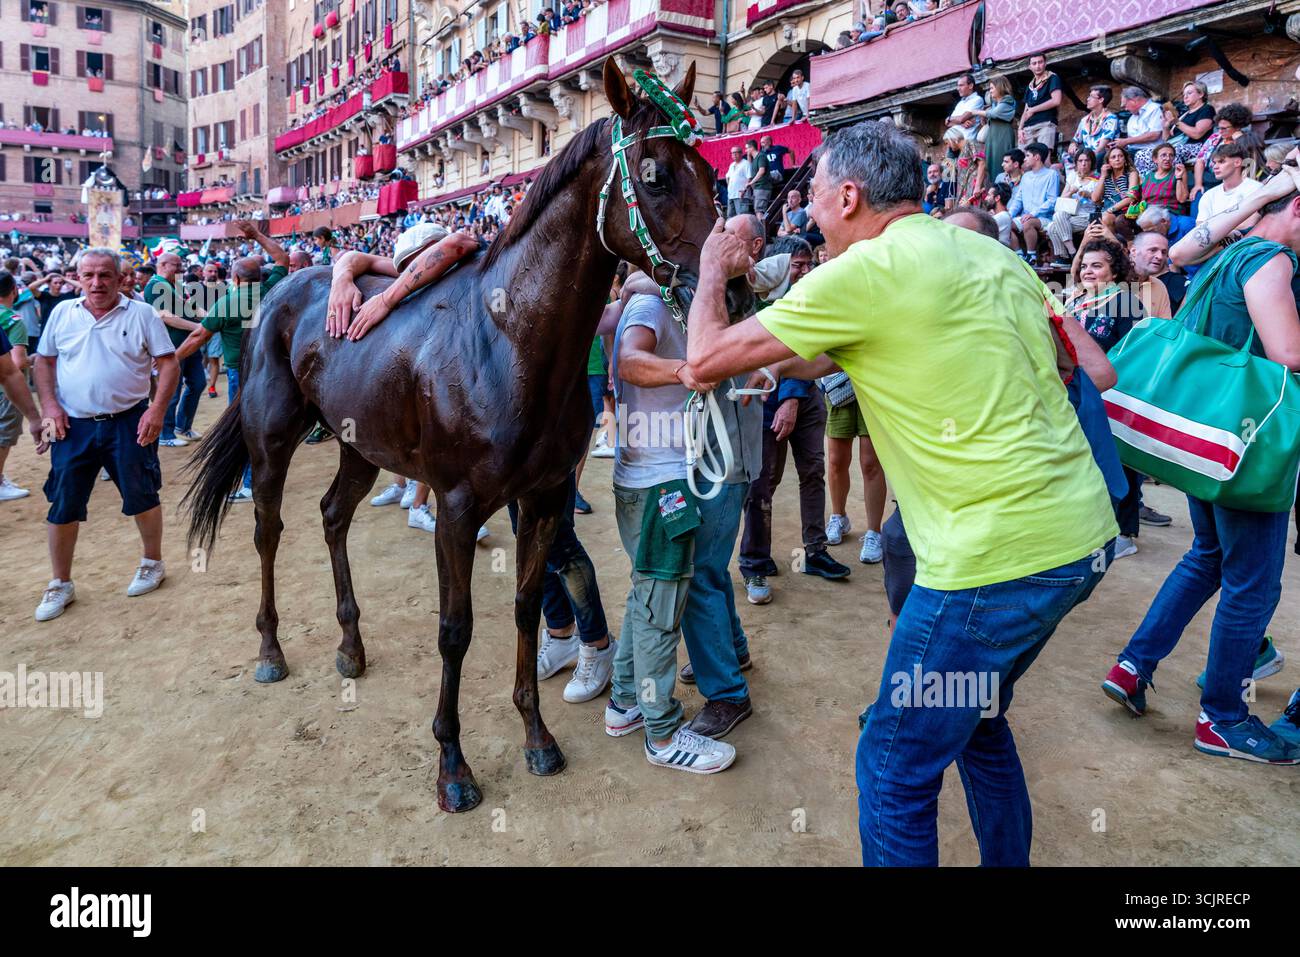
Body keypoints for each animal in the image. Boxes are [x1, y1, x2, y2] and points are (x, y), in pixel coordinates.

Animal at [183, 58, 754, 812]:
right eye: (656, 175)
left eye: (712, 171)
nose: (736, 288)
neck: (508, 339)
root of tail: (280, 289)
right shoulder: (456, 507)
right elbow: (455, 631)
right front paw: (452, 766)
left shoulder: (544, 498)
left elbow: (525, 608)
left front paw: (537, 735)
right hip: (272, 441)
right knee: (269, 531)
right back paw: (271, 650)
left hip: (360, 444)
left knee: (332, 514)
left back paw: (350, 644)